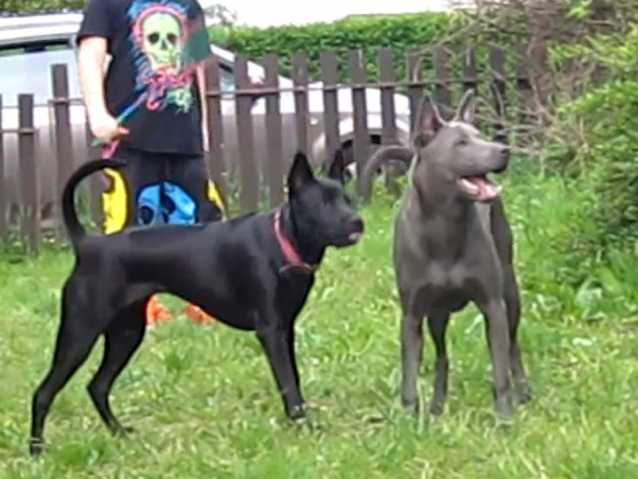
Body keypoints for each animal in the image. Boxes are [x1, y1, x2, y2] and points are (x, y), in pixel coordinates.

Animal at [29, 150, 364, 455]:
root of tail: (88, 244)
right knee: (43, 392)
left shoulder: (286, 329)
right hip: (79, 334)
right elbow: (288, 383)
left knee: (97, 386)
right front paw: (303, 424)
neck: (283, 242)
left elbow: (293, 378)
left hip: (127, 333)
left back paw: (119, 433)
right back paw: (36, 450)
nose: (358, 222)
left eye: (348, 199)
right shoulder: (271, 332)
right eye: (322, 204)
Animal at [362, 90, 531, 418]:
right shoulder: (413, 313)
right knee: (441, 356)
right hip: (436, 315)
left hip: (510, 291)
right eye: (461, 143)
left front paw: (505, 417)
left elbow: (500, 367)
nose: (504, 149)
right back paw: (437, 406)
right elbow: (410, 371)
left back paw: (524, 391)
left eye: (480, 136)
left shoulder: (493, 305)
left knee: (514, 344)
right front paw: (409, 417)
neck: (445, 226)